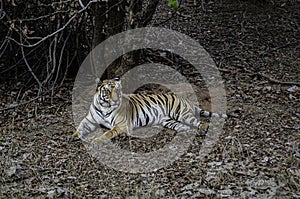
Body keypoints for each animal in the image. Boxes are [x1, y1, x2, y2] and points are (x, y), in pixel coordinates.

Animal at [72, 77, 232, 144]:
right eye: (108, 90)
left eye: (117, 90)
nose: (116, 99)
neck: (104, 106)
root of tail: (186, 100)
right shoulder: (89, 120)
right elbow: (80, 126)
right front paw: (73, 136)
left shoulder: (122, 125)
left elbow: (108, 132)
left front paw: (97, 140)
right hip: (169, 121)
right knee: (185, 127)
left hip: (181, 114)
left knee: (201, 122)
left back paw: (203, 130)